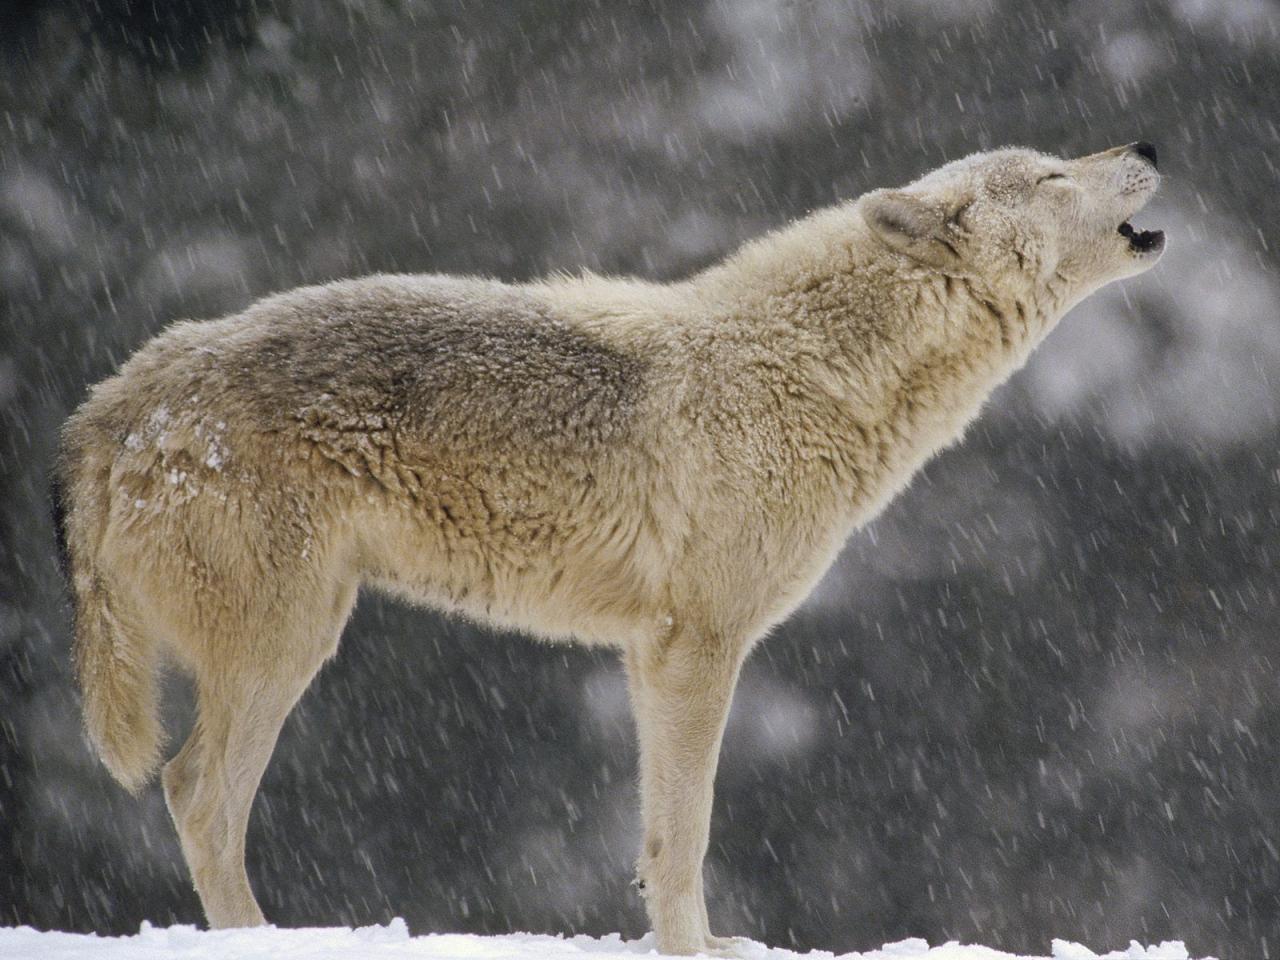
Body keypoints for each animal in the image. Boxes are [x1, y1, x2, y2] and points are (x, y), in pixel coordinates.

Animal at [55, 140, 1167, 957]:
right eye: (1053, 173)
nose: (1147, 143)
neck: (805, 370)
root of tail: (118, 397)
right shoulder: (700, 646)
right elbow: (687, 834)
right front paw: (692, 949)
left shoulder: (647, 653)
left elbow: (654, 834)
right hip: (286, 647)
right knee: (197, 796)